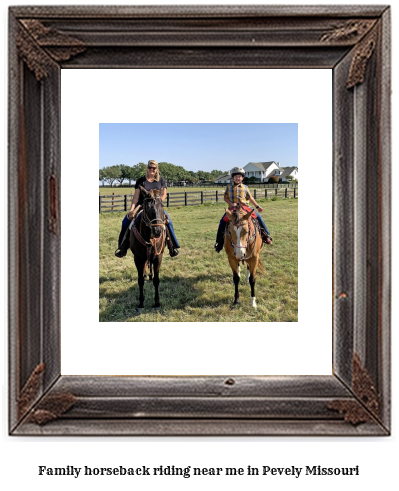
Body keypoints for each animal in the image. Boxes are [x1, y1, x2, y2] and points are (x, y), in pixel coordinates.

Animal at [131, 186, 166, 314]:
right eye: (147, 206)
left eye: (162, 205)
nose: (157, 231)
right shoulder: (138, 258)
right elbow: (140, 280)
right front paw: (141, 303)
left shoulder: (158, 257)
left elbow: (156, 280)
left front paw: (157, 303)